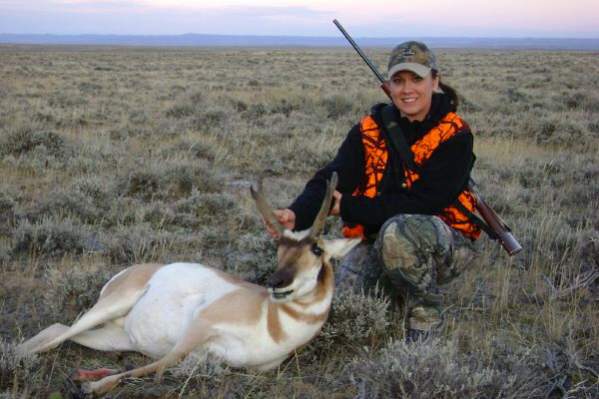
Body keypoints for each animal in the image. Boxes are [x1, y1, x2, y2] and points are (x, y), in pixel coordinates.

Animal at [18, 173, 358, 396]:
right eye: (279, 247)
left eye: (317, 249)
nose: (276, 282)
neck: (272, 321)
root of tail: (134, 270)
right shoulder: (199, 326)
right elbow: (156, 366)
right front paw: (93, 384)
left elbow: (159, 367)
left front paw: (94, 382)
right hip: (110, 306)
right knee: (57, 335)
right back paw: (17, 355)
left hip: (117, 337)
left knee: (60, 330)